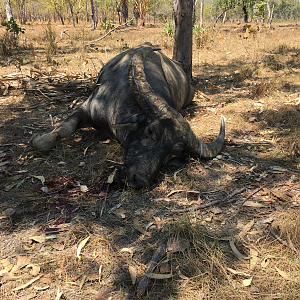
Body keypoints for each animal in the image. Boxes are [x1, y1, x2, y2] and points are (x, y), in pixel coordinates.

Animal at [30, 42, 226, 188]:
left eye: (173, 155)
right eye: (150, 131)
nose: (136, 180)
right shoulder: (86, 107)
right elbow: (65, 127)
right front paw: (40, 140)